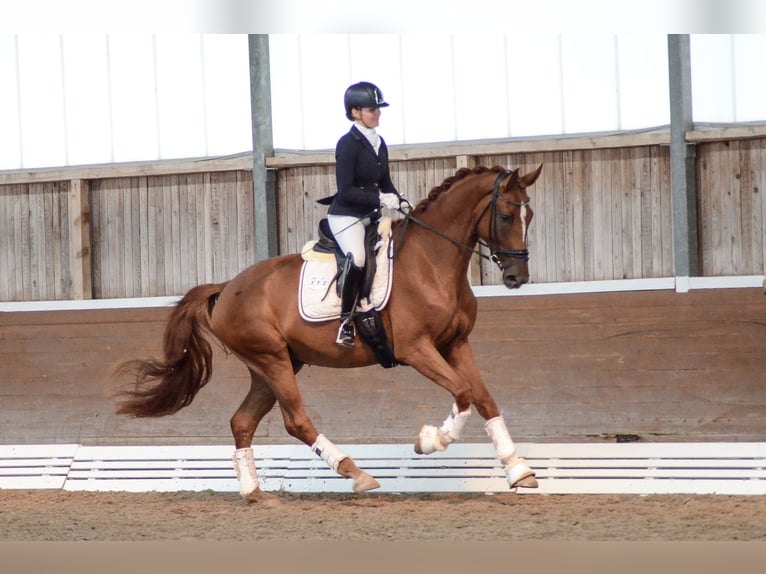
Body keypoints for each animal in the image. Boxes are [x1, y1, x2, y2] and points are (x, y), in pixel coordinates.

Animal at [114, 163, 544, 504]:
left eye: (531, 216)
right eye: (507, 216)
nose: (516, 277)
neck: (432, 262)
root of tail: (227, 287)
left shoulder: (455, 345)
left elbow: (484, 398)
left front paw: (518, 469)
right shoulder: (416, 349)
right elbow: (463, 393)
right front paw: (430, 440)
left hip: (273, 366)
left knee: (242, 422)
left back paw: (256, 494)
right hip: (271, 359)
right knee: (296, 421)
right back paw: (356, 473)